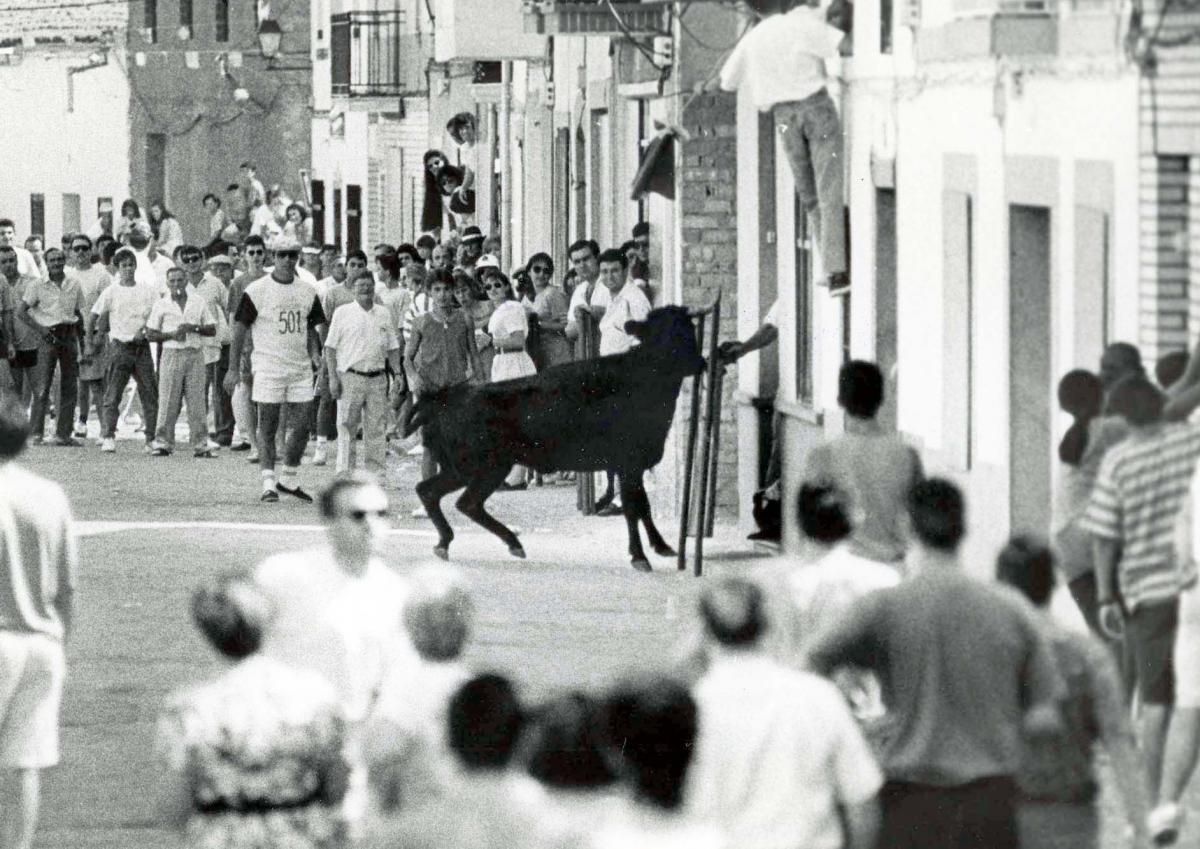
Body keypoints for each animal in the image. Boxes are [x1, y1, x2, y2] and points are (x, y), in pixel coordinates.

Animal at [408, 304, 710, 570]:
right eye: (665, 336)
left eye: (689, 329)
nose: (701, 363)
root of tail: (443, 399)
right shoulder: (628, 464)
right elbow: (633, 507)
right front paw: (640, 557)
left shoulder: (633, 466)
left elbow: (643, 505)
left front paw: (662, 546)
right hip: (484, 468)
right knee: (463, 501)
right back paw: (500, 542)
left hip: (465, 469)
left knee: (434, 492)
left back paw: (454, 543)